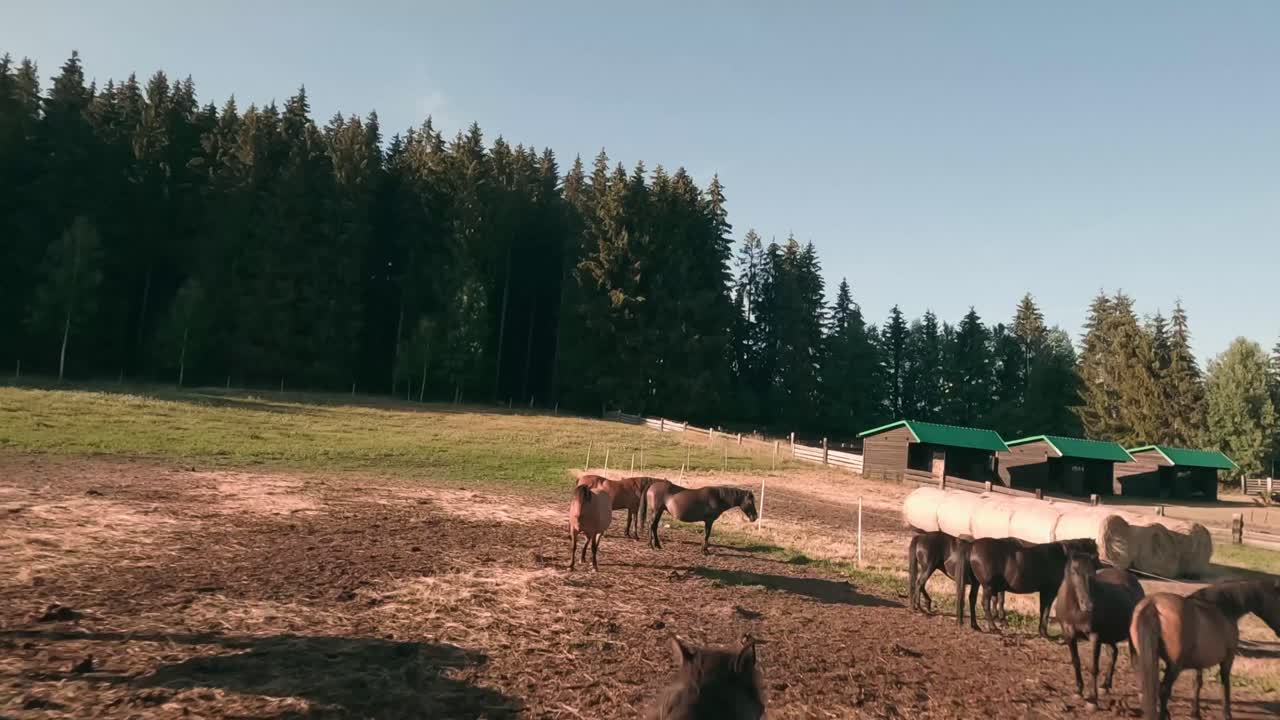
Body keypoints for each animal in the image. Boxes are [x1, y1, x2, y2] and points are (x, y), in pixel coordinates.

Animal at [956, 537, 1098, 637]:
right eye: (1095, 554)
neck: (1062, 558)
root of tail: (973, 545)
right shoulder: (1050, 591)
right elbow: (1046, 610)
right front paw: (1045, 633)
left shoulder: (1044, 591)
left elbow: (1043, 609)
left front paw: (1042, 632)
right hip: (988, 586)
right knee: (984, 603)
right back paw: (993, 628)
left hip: (976, 583)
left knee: (972, 599)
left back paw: (975, 625)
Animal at [1054, 551, 1144, 708]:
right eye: (1074, 571)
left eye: (1092, 573)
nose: (1089, 605)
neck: (1075, 610)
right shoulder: (1069, 635)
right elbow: (1076, 661)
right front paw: (1078, 691)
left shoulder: (1095, 637)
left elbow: (1093, 667)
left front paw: (1092, 700)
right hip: (1109, 635)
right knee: (1114, 653)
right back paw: (1105, 686)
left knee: (1136, 661)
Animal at [1130, 578, 1280, 720]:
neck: (1222, 608)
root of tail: (1153, 604)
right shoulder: (1228, 658)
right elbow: (1225, 683)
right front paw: (1227, 714)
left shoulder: (1199, 662)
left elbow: (1197, 683)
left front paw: (1195, 713)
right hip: (1174, 666)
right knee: (1163, 690)